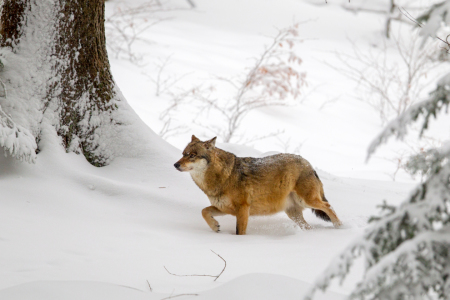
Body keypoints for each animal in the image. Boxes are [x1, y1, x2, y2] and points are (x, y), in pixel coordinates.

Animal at [174, 135, 342, 236]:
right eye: (183, 154)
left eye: (192, 155)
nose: (175, 164)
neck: (223, 176)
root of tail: (308, 163)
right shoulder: (224, 208)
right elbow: (204, 211)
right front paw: (215, 226)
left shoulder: (243, 209)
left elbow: (239, 232)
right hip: (293, 213)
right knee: (309, 225)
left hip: (308, 201)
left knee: (329, 207)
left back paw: (340, 227)